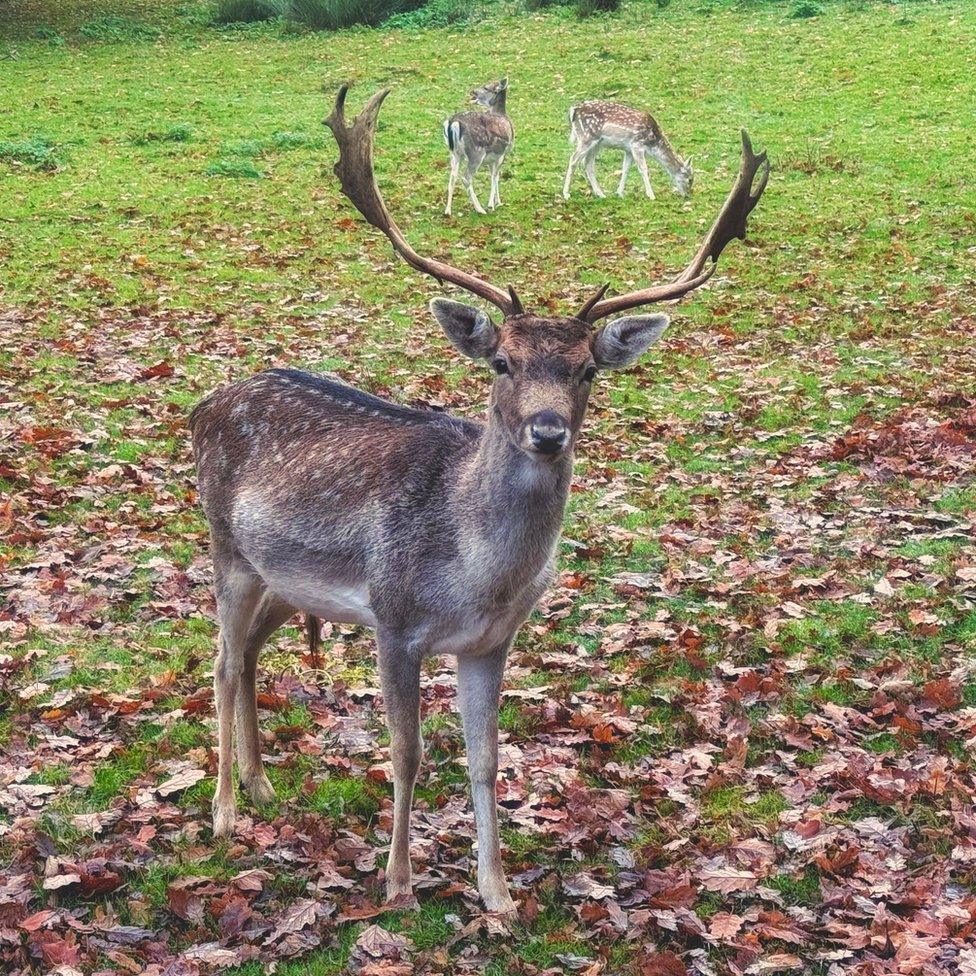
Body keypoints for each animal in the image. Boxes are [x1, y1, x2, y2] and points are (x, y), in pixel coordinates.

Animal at [444, 79, 516, 217]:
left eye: (486, 87)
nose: (472, 91)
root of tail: (453, 123)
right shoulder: (501, 154)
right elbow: (495, 176)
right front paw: (492, 204)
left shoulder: (492, 159)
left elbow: (494, 175)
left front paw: (498, 202)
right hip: (476, 153)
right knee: (466, 177)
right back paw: (480, 209)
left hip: (454, 153)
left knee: (452, 177)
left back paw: (447, 211)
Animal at [564, 100, 692, 201]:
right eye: (690, 179)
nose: (688, 195)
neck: (653, 145)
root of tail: (573, 110)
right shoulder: (637, 144)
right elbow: (644, 169)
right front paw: (651, 195)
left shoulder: (629, 149)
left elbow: (626, 169)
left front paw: (619, 193)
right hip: (587, 137)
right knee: (573, 159)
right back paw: (566, 193)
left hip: (596, 143)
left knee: (588, 163)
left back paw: (600, 194)